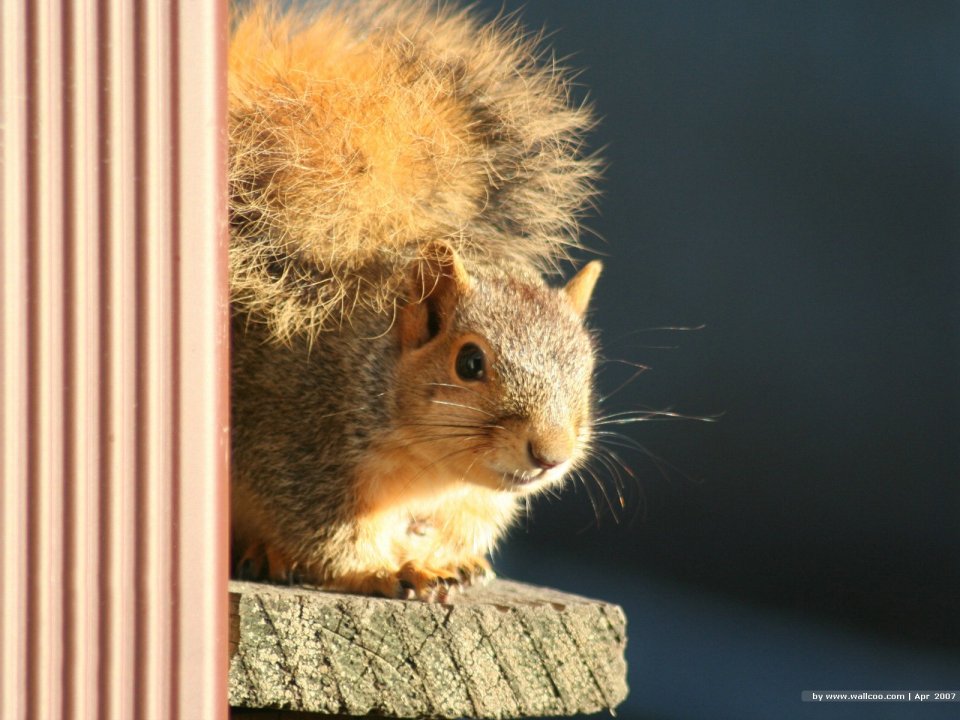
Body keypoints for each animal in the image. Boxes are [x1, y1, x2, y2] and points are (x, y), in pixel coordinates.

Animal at [228, 0, 603, 601]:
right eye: (469, 363)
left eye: (587, 371)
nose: (550, 455)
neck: (430, 472)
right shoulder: (296, 444)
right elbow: (331, 539)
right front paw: (386, 570)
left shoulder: (471, 502)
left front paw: (452, 563)